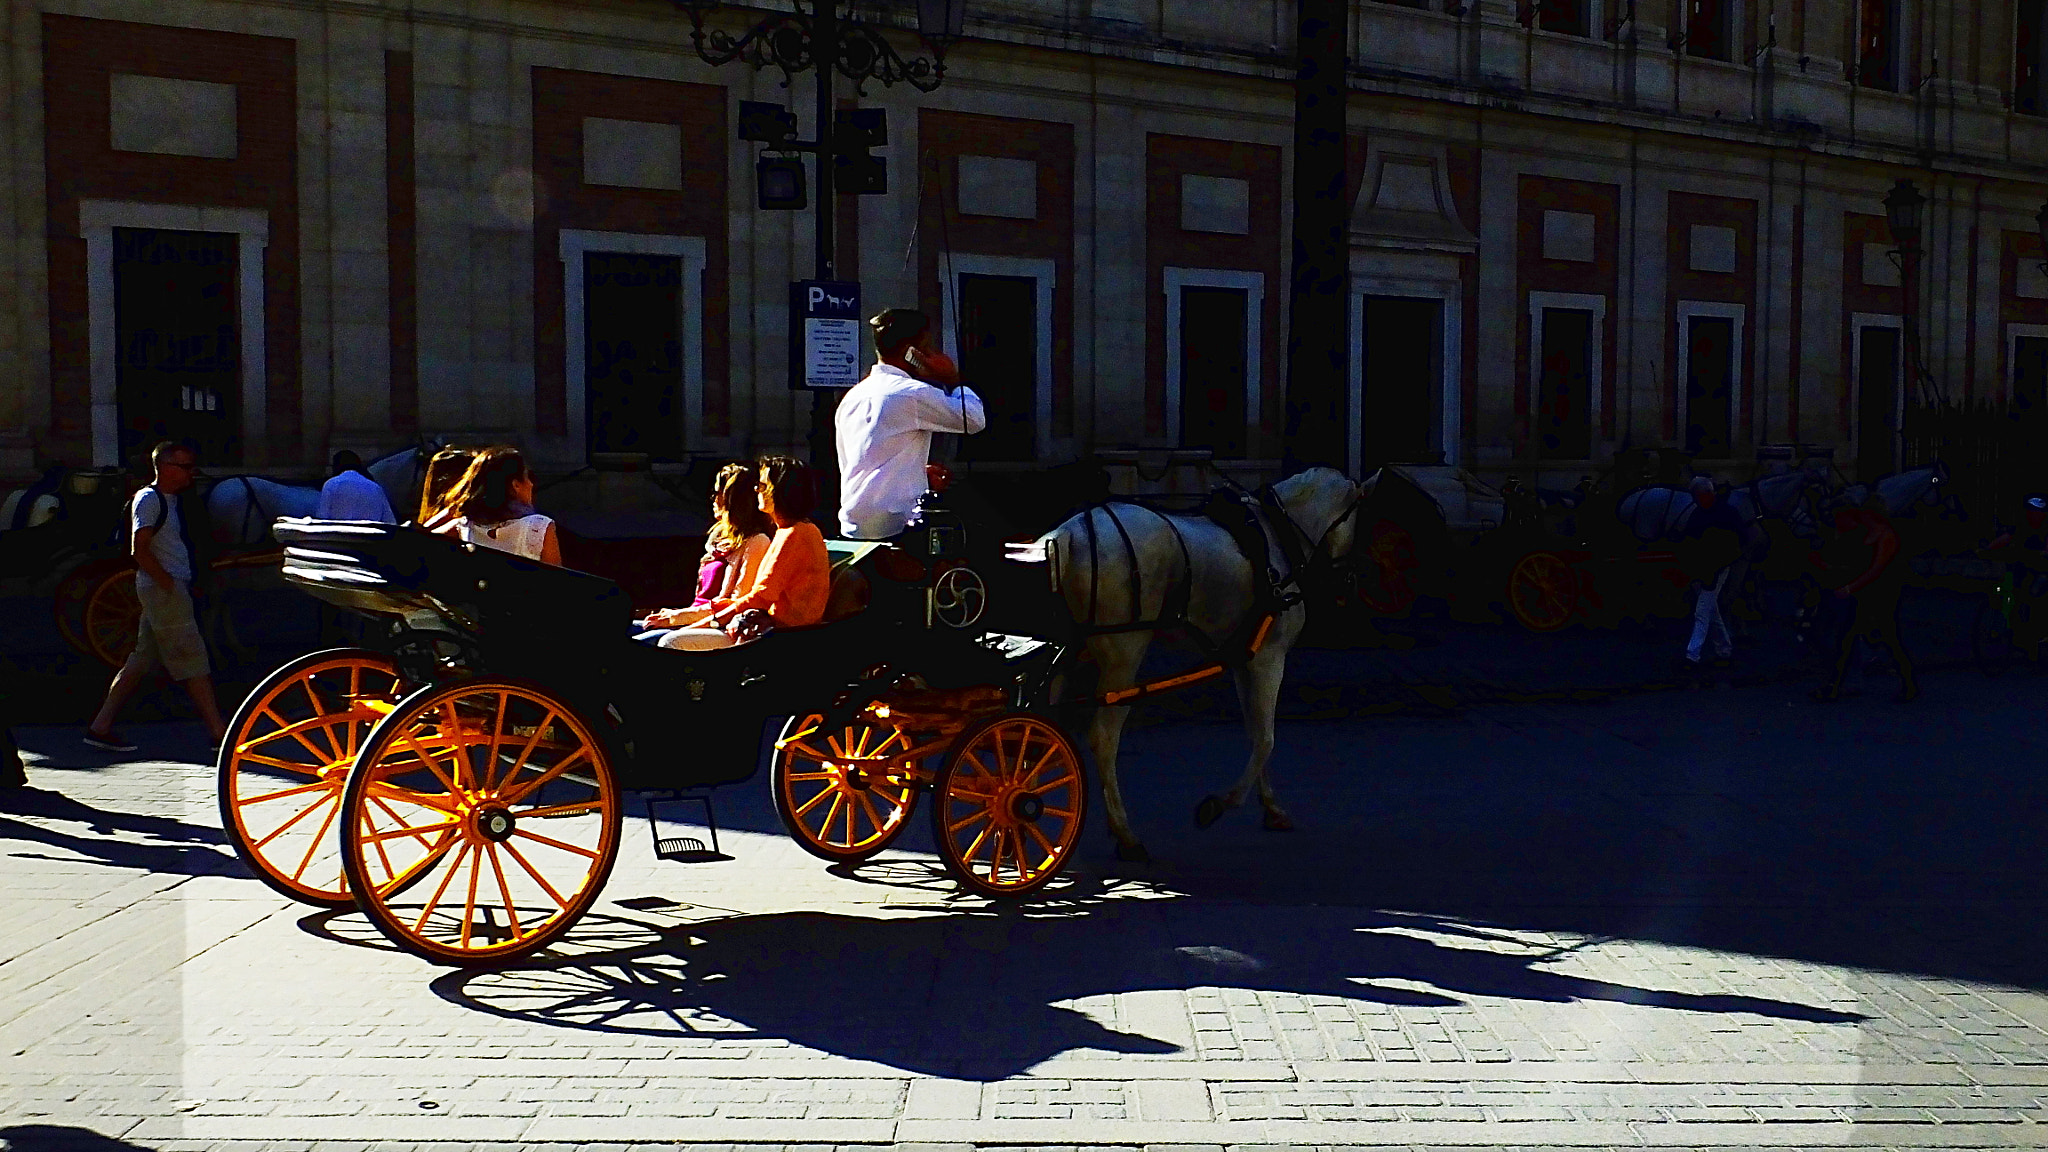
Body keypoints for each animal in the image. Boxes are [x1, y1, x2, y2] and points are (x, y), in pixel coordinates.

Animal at [1048, 467, 1368, 860]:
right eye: (1357, 517)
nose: (1349, 580)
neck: (1277, 533)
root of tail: (1072, 534)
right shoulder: (1270, 658)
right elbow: (1266, 738)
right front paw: (1219, 804)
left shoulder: (1244, 661)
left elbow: (1255, 732)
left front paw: (1271, 807)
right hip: (1123, 656)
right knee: (1104, 737)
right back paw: (1125, 834)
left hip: (1073, 649)